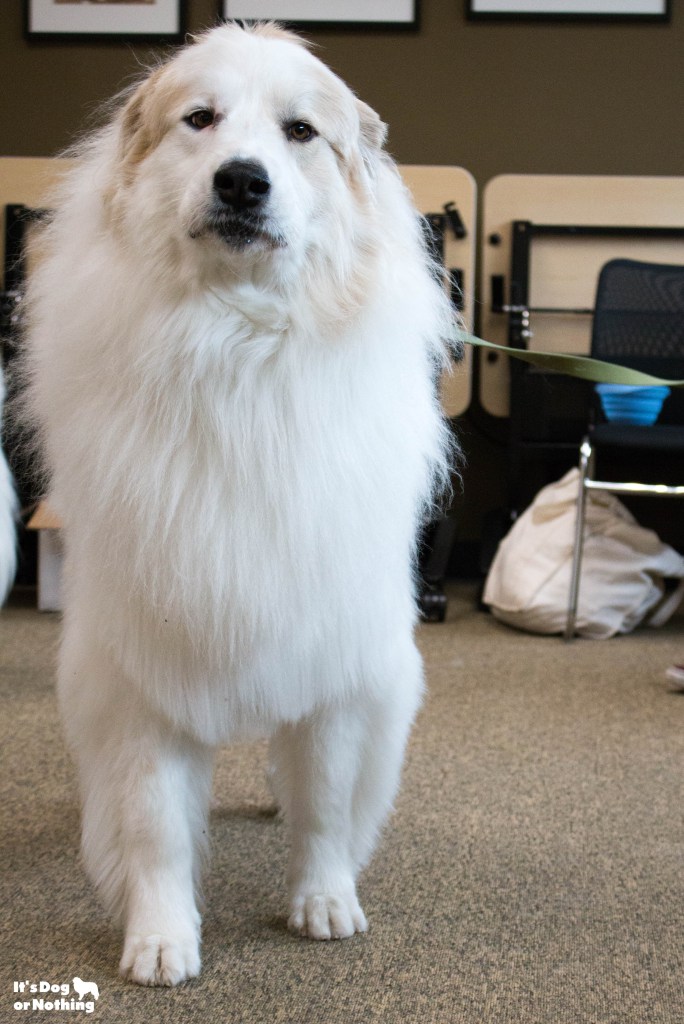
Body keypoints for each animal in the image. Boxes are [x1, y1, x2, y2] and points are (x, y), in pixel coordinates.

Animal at [22, 22, 458, 983]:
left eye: (301, 132)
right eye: (200, 120)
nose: (242, 181)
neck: (237, 347)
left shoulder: (333, 668)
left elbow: (325, 802)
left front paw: (323, 902)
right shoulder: (142, 675)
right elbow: (153, 824)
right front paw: (159, 938)